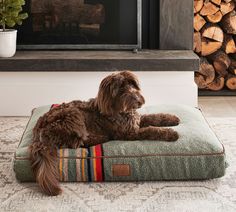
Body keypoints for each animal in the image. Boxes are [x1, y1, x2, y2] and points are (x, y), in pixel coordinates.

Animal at [30, 71, 180, 195]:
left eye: (133, 84)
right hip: (73, 116)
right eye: (121, 88)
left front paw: (171, 118)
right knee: (77, 142)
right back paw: (100, 137)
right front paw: (171, 133)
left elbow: (153, 117)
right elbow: (150, 129)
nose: (137, 98)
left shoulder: (136, 120)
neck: (120, 110)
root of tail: (38, 129)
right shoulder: (129, 133)